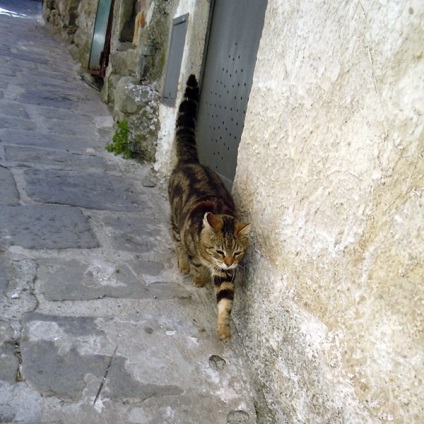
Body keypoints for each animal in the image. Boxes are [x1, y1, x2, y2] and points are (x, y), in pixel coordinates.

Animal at [167, 75, 250, 342]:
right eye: (219, 251)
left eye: (237, 252)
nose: (229, 263)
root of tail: (191, 161)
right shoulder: (197, 250)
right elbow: (196, 263)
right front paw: (198, 277)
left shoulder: (226, 276)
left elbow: (225, 302)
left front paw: (224, 329)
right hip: (175, 222)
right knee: (178, 245)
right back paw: (184, 265)